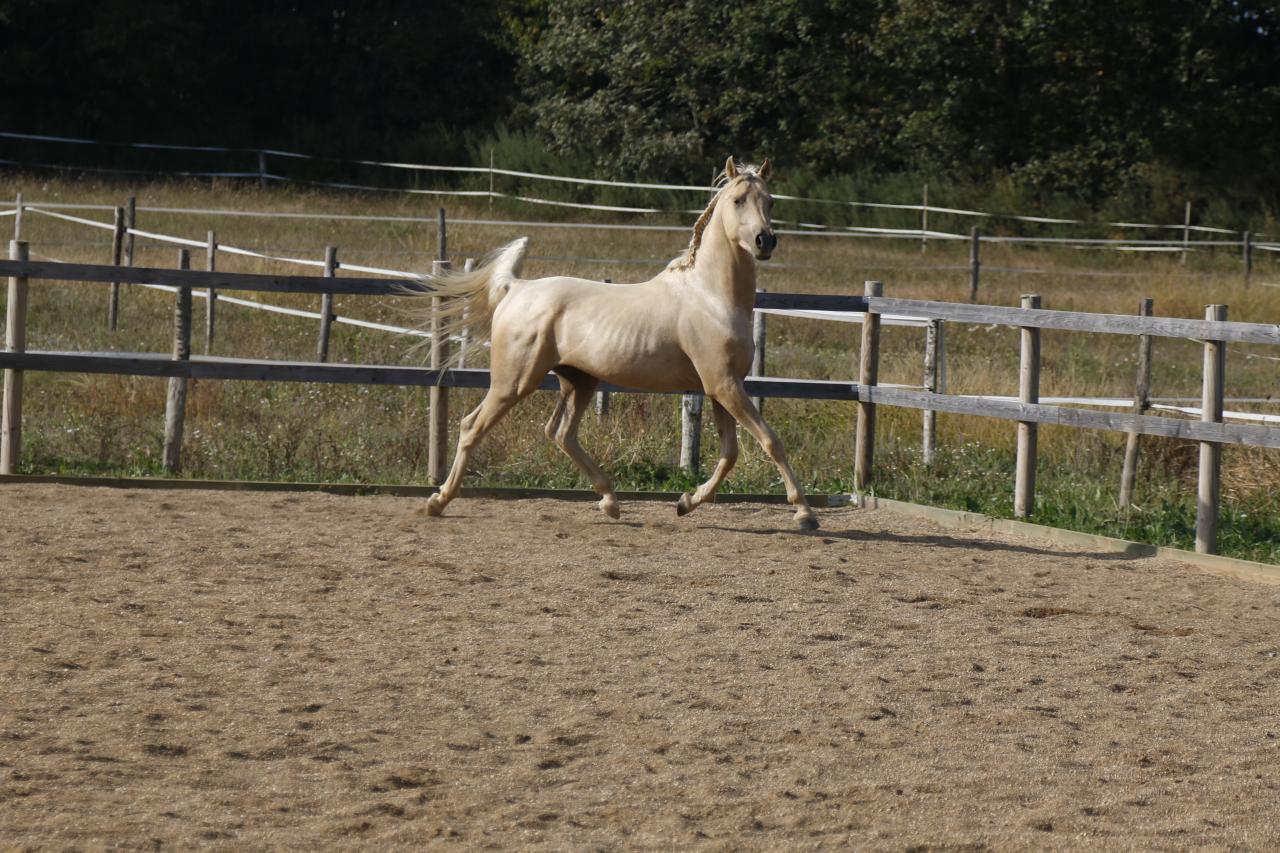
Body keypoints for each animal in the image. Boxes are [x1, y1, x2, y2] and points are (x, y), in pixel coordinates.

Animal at [414, 153, 824, 525]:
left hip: (579, 381)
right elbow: (770, 441)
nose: (764, 240)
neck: (711, 296)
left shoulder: (722, 387)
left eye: (769, 201)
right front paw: (804, 513)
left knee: (561, 434)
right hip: (513, 382)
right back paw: (438, 501)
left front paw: (686, 501)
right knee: (472, 426)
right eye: (738, 199)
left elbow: (729, 454)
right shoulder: (724, 386)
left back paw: (610, 502)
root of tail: (517, 288)